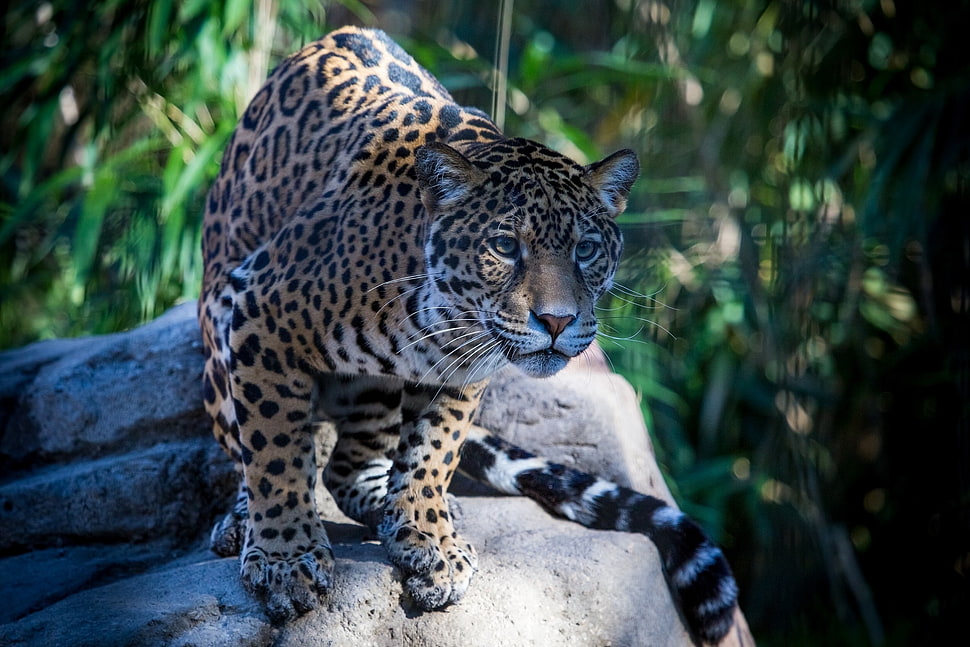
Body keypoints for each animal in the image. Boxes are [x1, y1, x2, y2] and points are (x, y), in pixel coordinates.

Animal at [199, 26, 739, 644]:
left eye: (585, 249)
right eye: (504, 246)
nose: (558, 322)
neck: (438, 309)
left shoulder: (461, 370)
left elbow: (435, 451)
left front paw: (429, 538)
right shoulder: (262, 311)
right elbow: (275, 452)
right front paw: (287, 559)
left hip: (370, 387)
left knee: (349, 466)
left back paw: (394, 503)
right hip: (218, 329)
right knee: (253, 447)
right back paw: (244, 520)